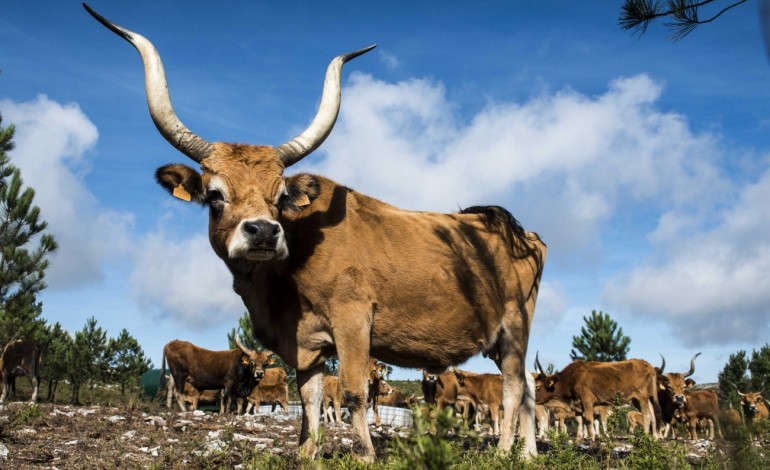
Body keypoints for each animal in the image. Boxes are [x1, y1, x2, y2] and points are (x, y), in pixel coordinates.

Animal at [85, 2, 544, 458]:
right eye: (215, 195)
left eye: (279, 197)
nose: (263, 232)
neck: (280, 283)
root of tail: (514, 229)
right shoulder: (306, 342)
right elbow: (310, 395)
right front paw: (307, 452)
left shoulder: (354, 320)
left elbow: (353, 391)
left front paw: (364, 454)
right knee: (528, 389)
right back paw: (529, 453)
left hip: (514, 329)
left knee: (513, 388)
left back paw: (505, 451)